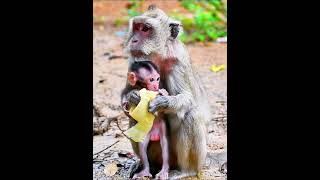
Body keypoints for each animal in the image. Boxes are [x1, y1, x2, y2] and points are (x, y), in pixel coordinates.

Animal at [121, 4, 211, 179]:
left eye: (146, 29)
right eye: (136, 27)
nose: (134, 40)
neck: (159, 55)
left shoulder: (179, 62)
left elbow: (188, 99)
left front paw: (163, 102)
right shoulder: (134, 61)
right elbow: (127, 93)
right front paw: (132, 96)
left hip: (183, 157)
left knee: (191, 115)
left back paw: (186, 170)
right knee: (134, 119)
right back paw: (145, 166)